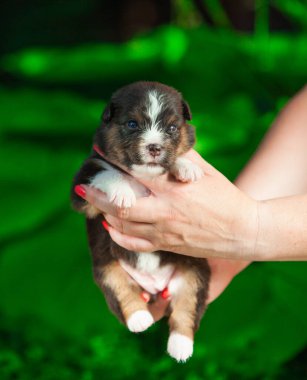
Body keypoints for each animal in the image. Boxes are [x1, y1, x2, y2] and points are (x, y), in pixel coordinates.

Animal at [71, 81, 212, 362]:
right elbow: (107, 171)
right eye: (132, 124)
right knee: (123, 293)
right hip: (106, 270)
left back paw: (181, 347)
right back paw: (140, 320)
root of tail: (155, 286)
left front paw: (187, 166)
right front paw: (122, 192)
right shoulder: (83, 188)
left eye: (172, 128)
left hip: (196, 273)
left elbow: (178, 156)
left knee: (186, 310)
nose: (155, 147)